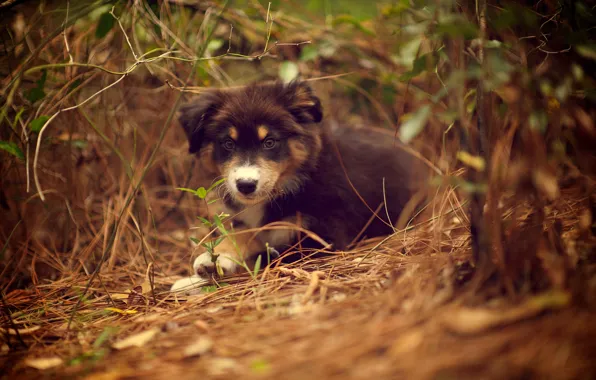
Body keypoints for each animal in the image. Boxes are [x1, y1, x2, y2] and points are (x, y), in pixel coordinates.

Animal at [170, 81, 426, 292]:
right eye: (228, 143)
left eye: (269, 142)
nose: (245, 185)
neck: (289, 185)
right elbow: (245, 234)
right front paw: (214, 259)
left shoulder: (324, 239)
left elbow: (267, 256)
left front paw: (195, 280)